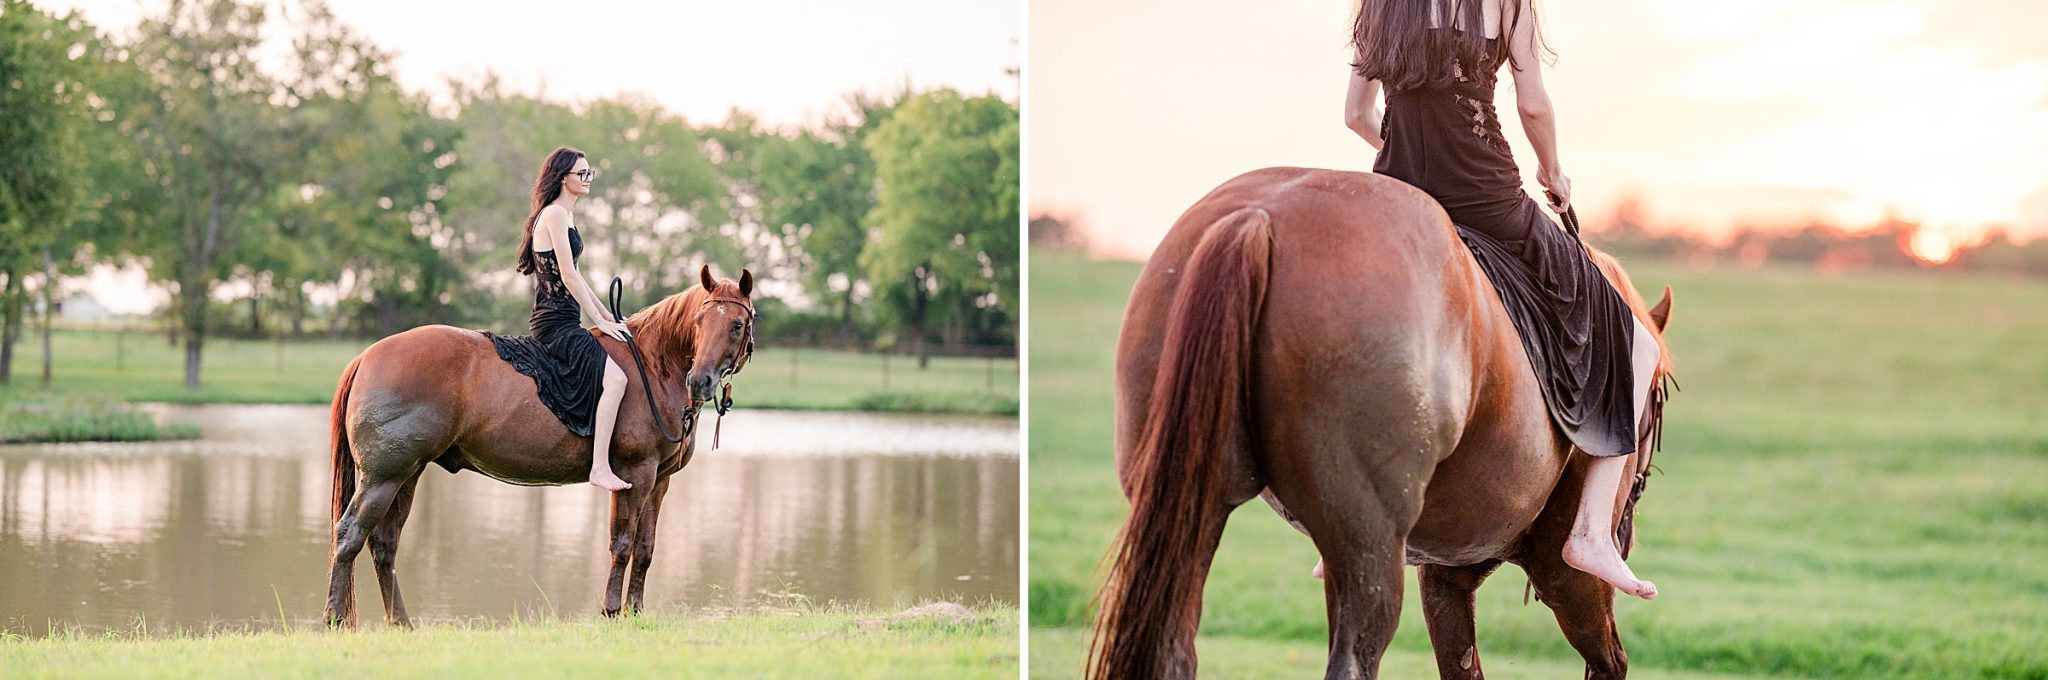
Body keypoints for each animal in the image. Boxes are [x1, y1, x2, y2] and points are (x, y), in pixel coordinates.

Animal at [323, 266, 757, 626]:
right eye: (699, 321)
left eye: (736, 324)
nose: (699, 381)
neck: (652, 364)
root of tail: (368, 355)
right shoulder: (635, 475)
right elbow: (621, 543)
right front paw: (611, 611)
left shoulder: (659, 480)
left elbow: (645, 548)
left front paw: (635, 612)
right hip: (383, 477)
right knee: (349, 535)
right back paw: (334, 619)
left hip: (406, 475)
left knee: (383, 545)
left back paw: (401, 623)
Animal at [1097, 166, 1671, 675]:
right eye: (1658, 399)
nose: (1626, 531)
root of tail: (1257, 217)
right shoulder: (1564, 577)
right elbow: (1609, 663)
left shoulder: (1445, 576)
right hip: (1368, 541)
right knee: (1353, 660)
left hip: (1193, 506)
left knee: (1174, 649)